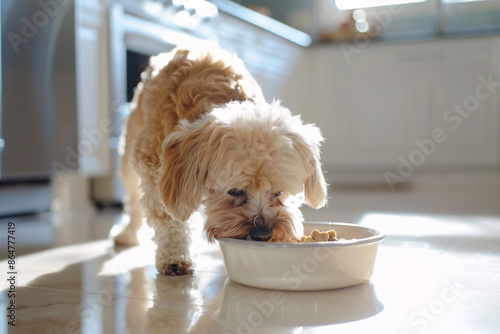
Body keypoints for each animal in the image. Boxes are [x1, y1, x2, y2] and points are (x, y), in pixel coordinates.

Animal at [115, 45, 330, 276]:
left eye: (278, 193)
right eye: (234, 192)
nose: (263, 234)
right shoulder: (155, 166)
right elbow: (168, 218)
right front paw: (175, 256)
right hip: (129, 151)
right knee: (132, 199)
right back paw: (127, 233)